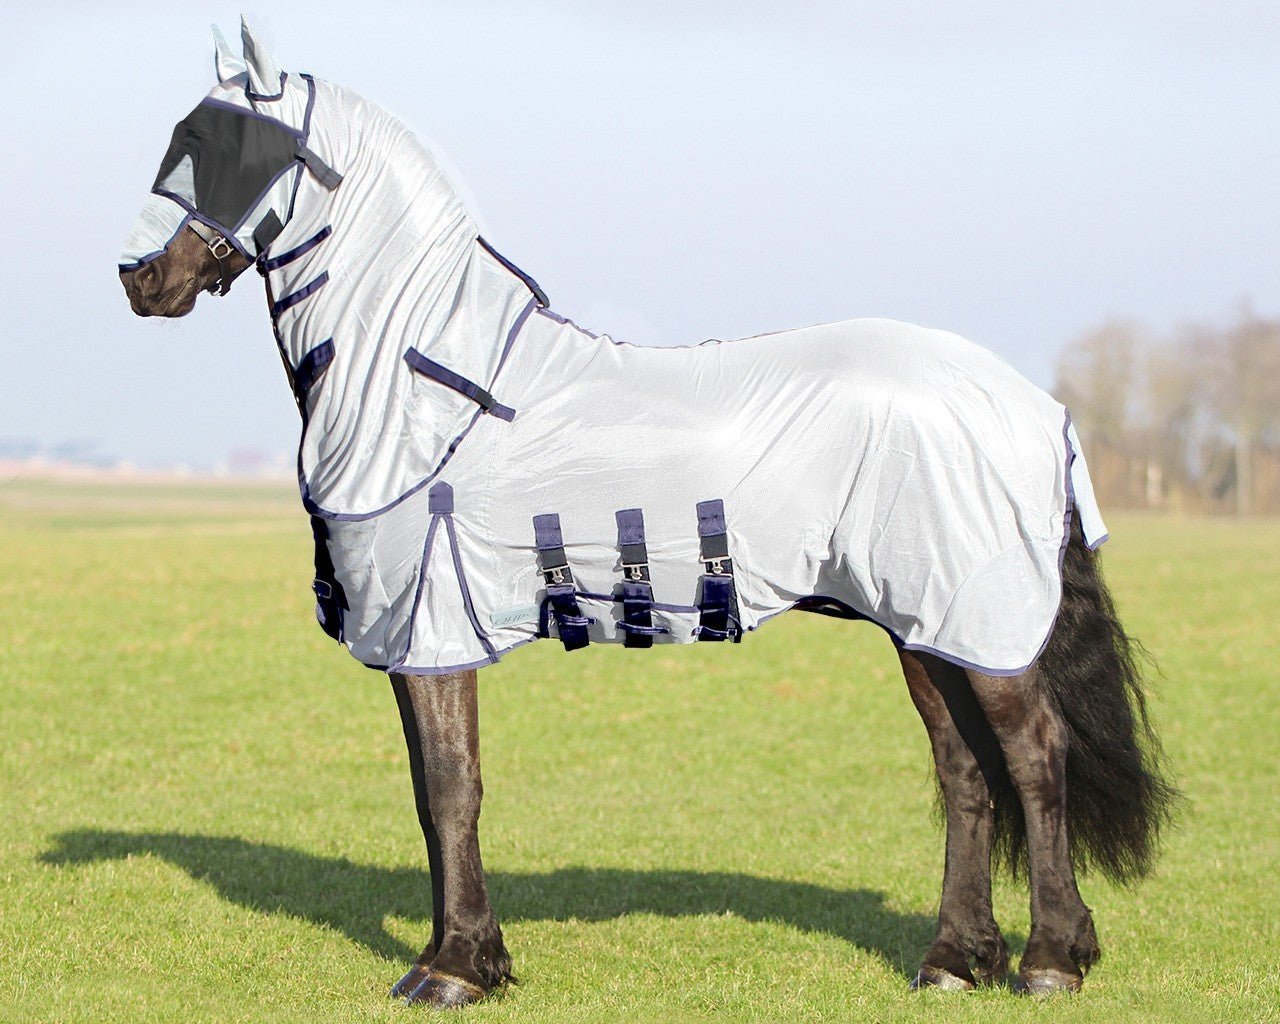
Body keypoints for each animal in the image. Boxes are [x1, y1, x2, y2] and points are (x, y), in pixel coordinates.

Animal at [118, 19, 1176, 1008]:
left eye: (225, 145)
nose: (139, 279)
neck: (429, 390)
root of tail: (1033, 404)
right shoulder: (417, 639)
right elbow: (427, 792)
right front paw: (456, 956)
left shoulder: (433, 628)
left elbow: (453, 789)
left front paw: (457, 970)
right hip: (924, 624)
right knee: (965, 772)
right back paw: (955, 960)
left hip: (974, 615)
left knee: (1033, 757)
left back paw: (1051, 960)